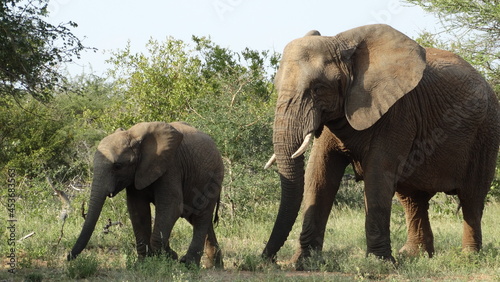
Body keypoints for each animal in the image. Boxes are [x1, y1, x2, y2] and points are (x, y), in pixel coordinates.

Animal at [67, 120, 224, 268]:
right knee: (196, 217)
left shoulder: (171, 166)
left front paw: (166, 259)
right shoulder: (136, 174)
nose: (68, 257)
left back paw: (189, 264)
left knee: (201, 215)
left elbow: (172, 206)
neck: (134, 137)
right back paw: (214, 266)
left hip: (213, 179)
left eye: (118, 166)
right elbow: (138, 210)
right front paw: (143, 263)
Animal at [262, 24, 500, 266]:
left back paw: (469, 256)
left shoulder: (398, 111)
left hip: (486, 134)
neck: (343, 45)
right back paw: (413, 255)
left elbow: (377, 174)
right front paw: (303, 262)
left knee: (471, 198)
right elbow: (319, 174)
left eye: (318, 88)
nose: (268, 259)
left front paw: (378, 263)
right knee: (412, 199)